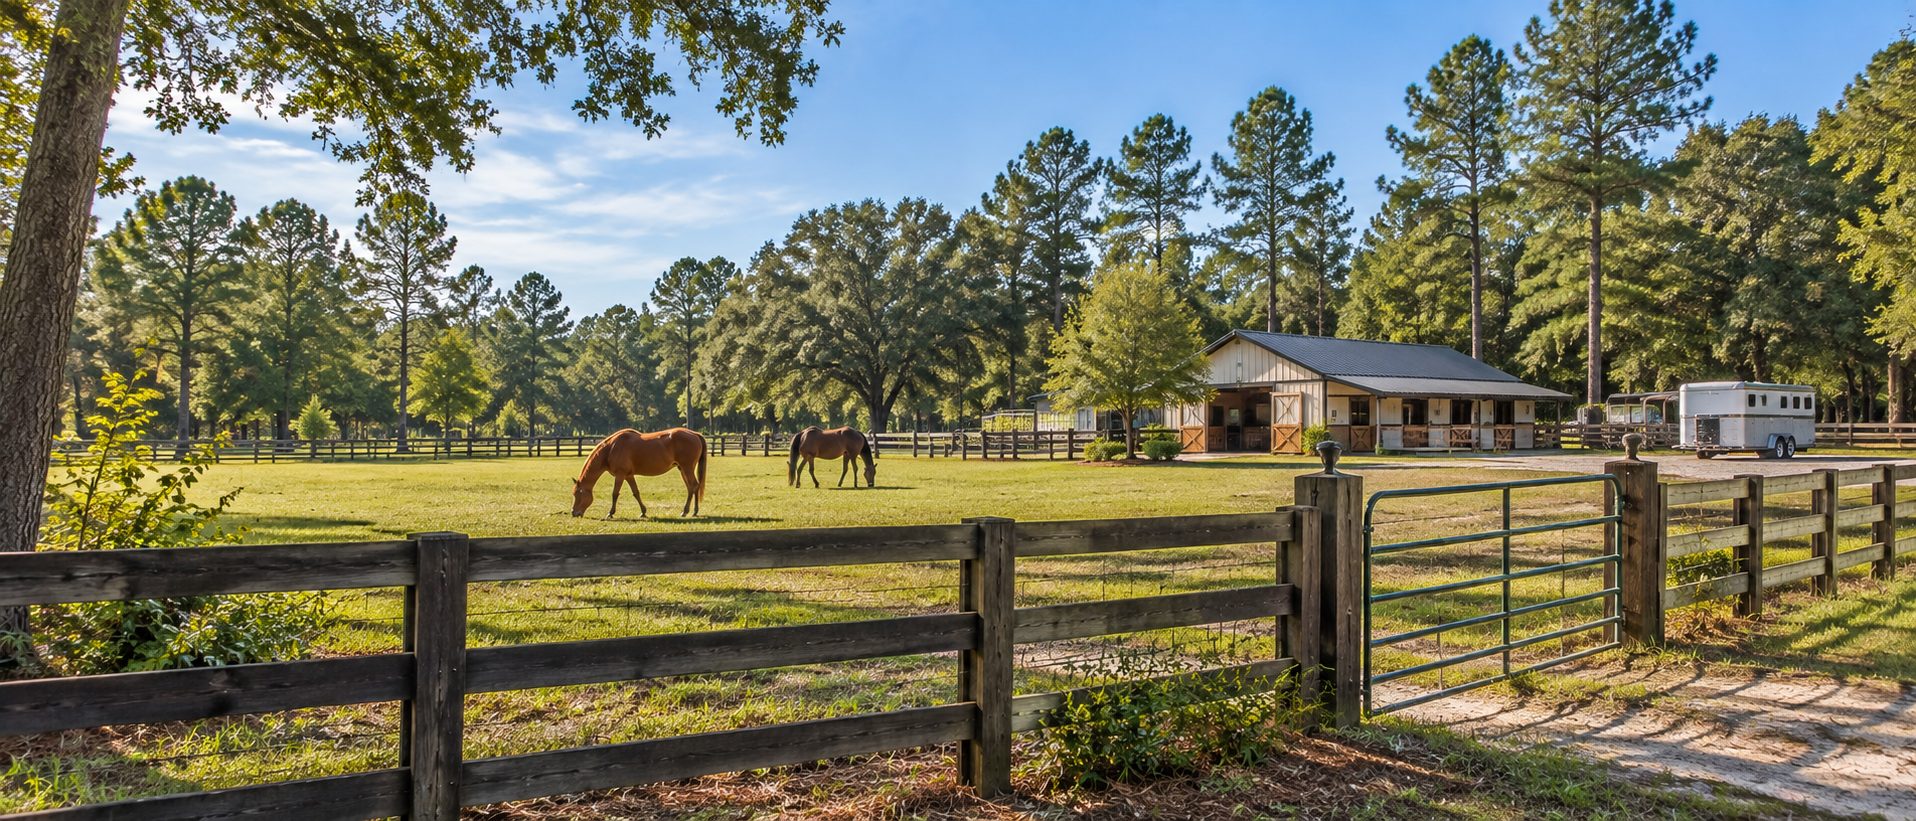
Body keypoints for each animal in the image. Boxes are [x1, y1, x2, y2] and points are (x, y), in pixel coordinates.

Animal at [571, 428, 706, 518]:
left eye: (577, 494)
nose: (574, 513)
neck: (611, 449)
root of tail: (694, 434)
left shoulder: (620, 475)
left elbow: (615, 494)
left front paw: (610, 513)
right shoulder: (628, 476)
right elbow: (636, 492)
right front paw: (643, 512)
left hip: (687, 468)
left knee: (693, 486)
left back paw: (687, 511)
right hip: (682, 469)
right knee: (692, 487)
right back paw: (693, 511)